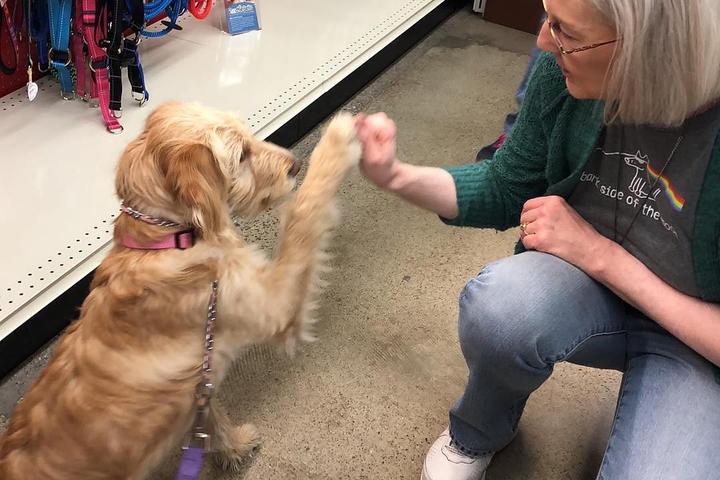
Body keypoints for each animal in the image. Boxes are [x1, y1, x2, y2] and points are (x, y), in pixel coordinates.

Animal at [0, 99, 360, 478]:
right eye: (242, 155)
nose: (294, 165)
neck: (165, 240)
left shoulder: (202, 374)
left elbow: (209, 415)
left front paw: (233, 447)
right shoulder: (276, 306)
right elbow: (303, 212)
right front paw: (339, 137)